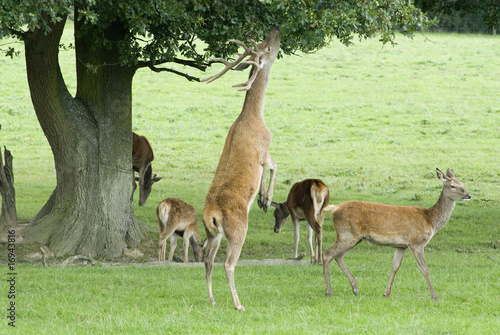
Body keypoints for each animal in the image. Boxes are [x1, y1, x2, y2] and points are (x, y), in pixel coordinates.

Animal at [202, 28, 282, 312]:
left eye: (264, 40)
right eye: (266, 48)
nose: (276, 30)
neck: (255, 115)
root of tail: (211, 214)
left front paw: (262, 198)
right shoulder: (265, 147)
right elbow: (274, 166)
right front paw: (265, 199)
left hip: (212, 233)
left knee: (207, 260)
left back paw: (212, 299)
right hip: (238, 230)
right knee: (228, 264)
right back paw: (238, 304)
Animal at [322, 168, 470, 302]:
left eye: (462, 184)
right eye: (453, 185)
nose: (468, 195)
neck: (431, 221)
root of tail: (334, 208)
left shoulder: (401, 246)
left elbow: (395, 267)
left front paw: (386, 293)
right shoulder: (416, 242)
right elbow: (425, 269)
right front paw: (435, 297)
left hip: (353, 237)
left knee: (338, 256)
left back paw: (354, 288)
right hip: (348, 234)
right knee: (327, 254)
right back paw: (329, 292)